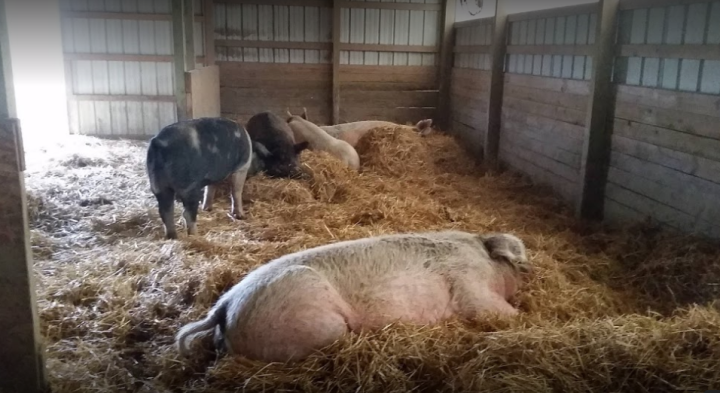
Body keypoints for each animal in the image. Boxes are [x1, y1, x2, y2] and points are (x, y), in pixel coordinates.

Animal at [177, 230, 532, 362]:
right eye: (518, 257)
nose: (531, 269)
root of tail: (224, 306)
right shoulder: (470, 285)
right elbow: (492, 310)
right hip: (322, 325)